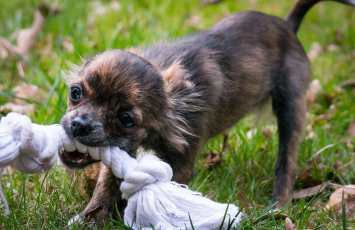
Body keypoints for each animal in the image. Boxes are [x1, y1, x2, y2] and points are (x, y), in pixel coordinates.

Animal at [59, 0, 355, 226]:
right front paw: (90, 219)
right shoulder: (123, 151)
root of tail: (288, 26)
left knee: (287, 160)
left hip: (291, 106)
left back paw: (277, 206)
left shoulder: (181, 162)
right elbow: (106, 185)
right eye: (75, 92)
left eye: (126, 119)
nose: (79, 125)